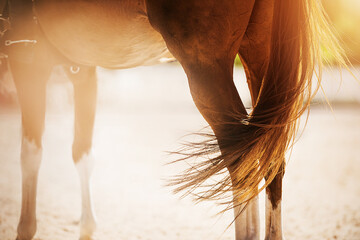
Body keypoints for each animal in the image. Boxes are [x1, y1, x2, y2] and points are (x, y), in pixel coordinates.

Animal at [2, 0, 346, 240]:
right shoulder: (84, 70)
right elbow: (82, 153)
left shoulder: (28, 64)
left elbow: (30, 154)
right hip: (260, 55)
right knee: (271, 160)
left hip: (206, 70)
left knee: (242, 164)